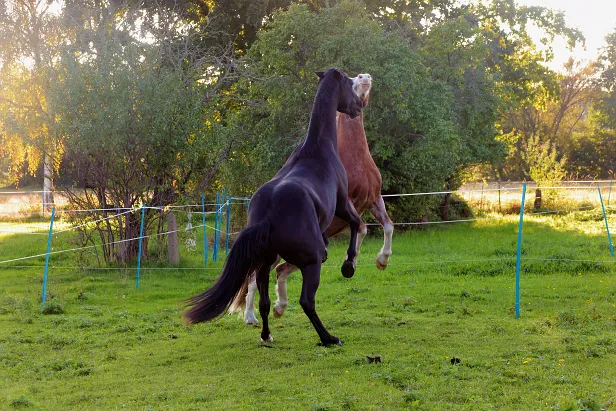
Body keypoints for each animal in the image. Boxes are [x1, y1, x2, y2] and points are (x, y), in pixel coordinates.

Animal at [183, 69, 366, 346]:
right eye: (349, 83)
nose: (359, 106)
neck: (316, 150)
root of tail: (267, 217)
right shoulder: (343, 203)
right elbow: (356, 223)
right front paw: (349, 266)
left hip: (264, 264)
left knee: (264, 301)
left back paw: (267, 335)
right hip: (311, 261)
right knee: (306, 301)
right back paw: (328, 338)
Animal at [236, 73, 394, 326]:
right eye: (352, 79)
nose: (365, 77)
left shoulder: (373, 199)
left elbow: (387, 226)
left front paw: (381, 260)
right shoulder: (347, 202)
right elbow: (361, 227)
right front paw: (350, 263)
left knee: (279, 271)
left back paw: (279, 307)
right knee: (254, 279)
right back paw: (251, 316)